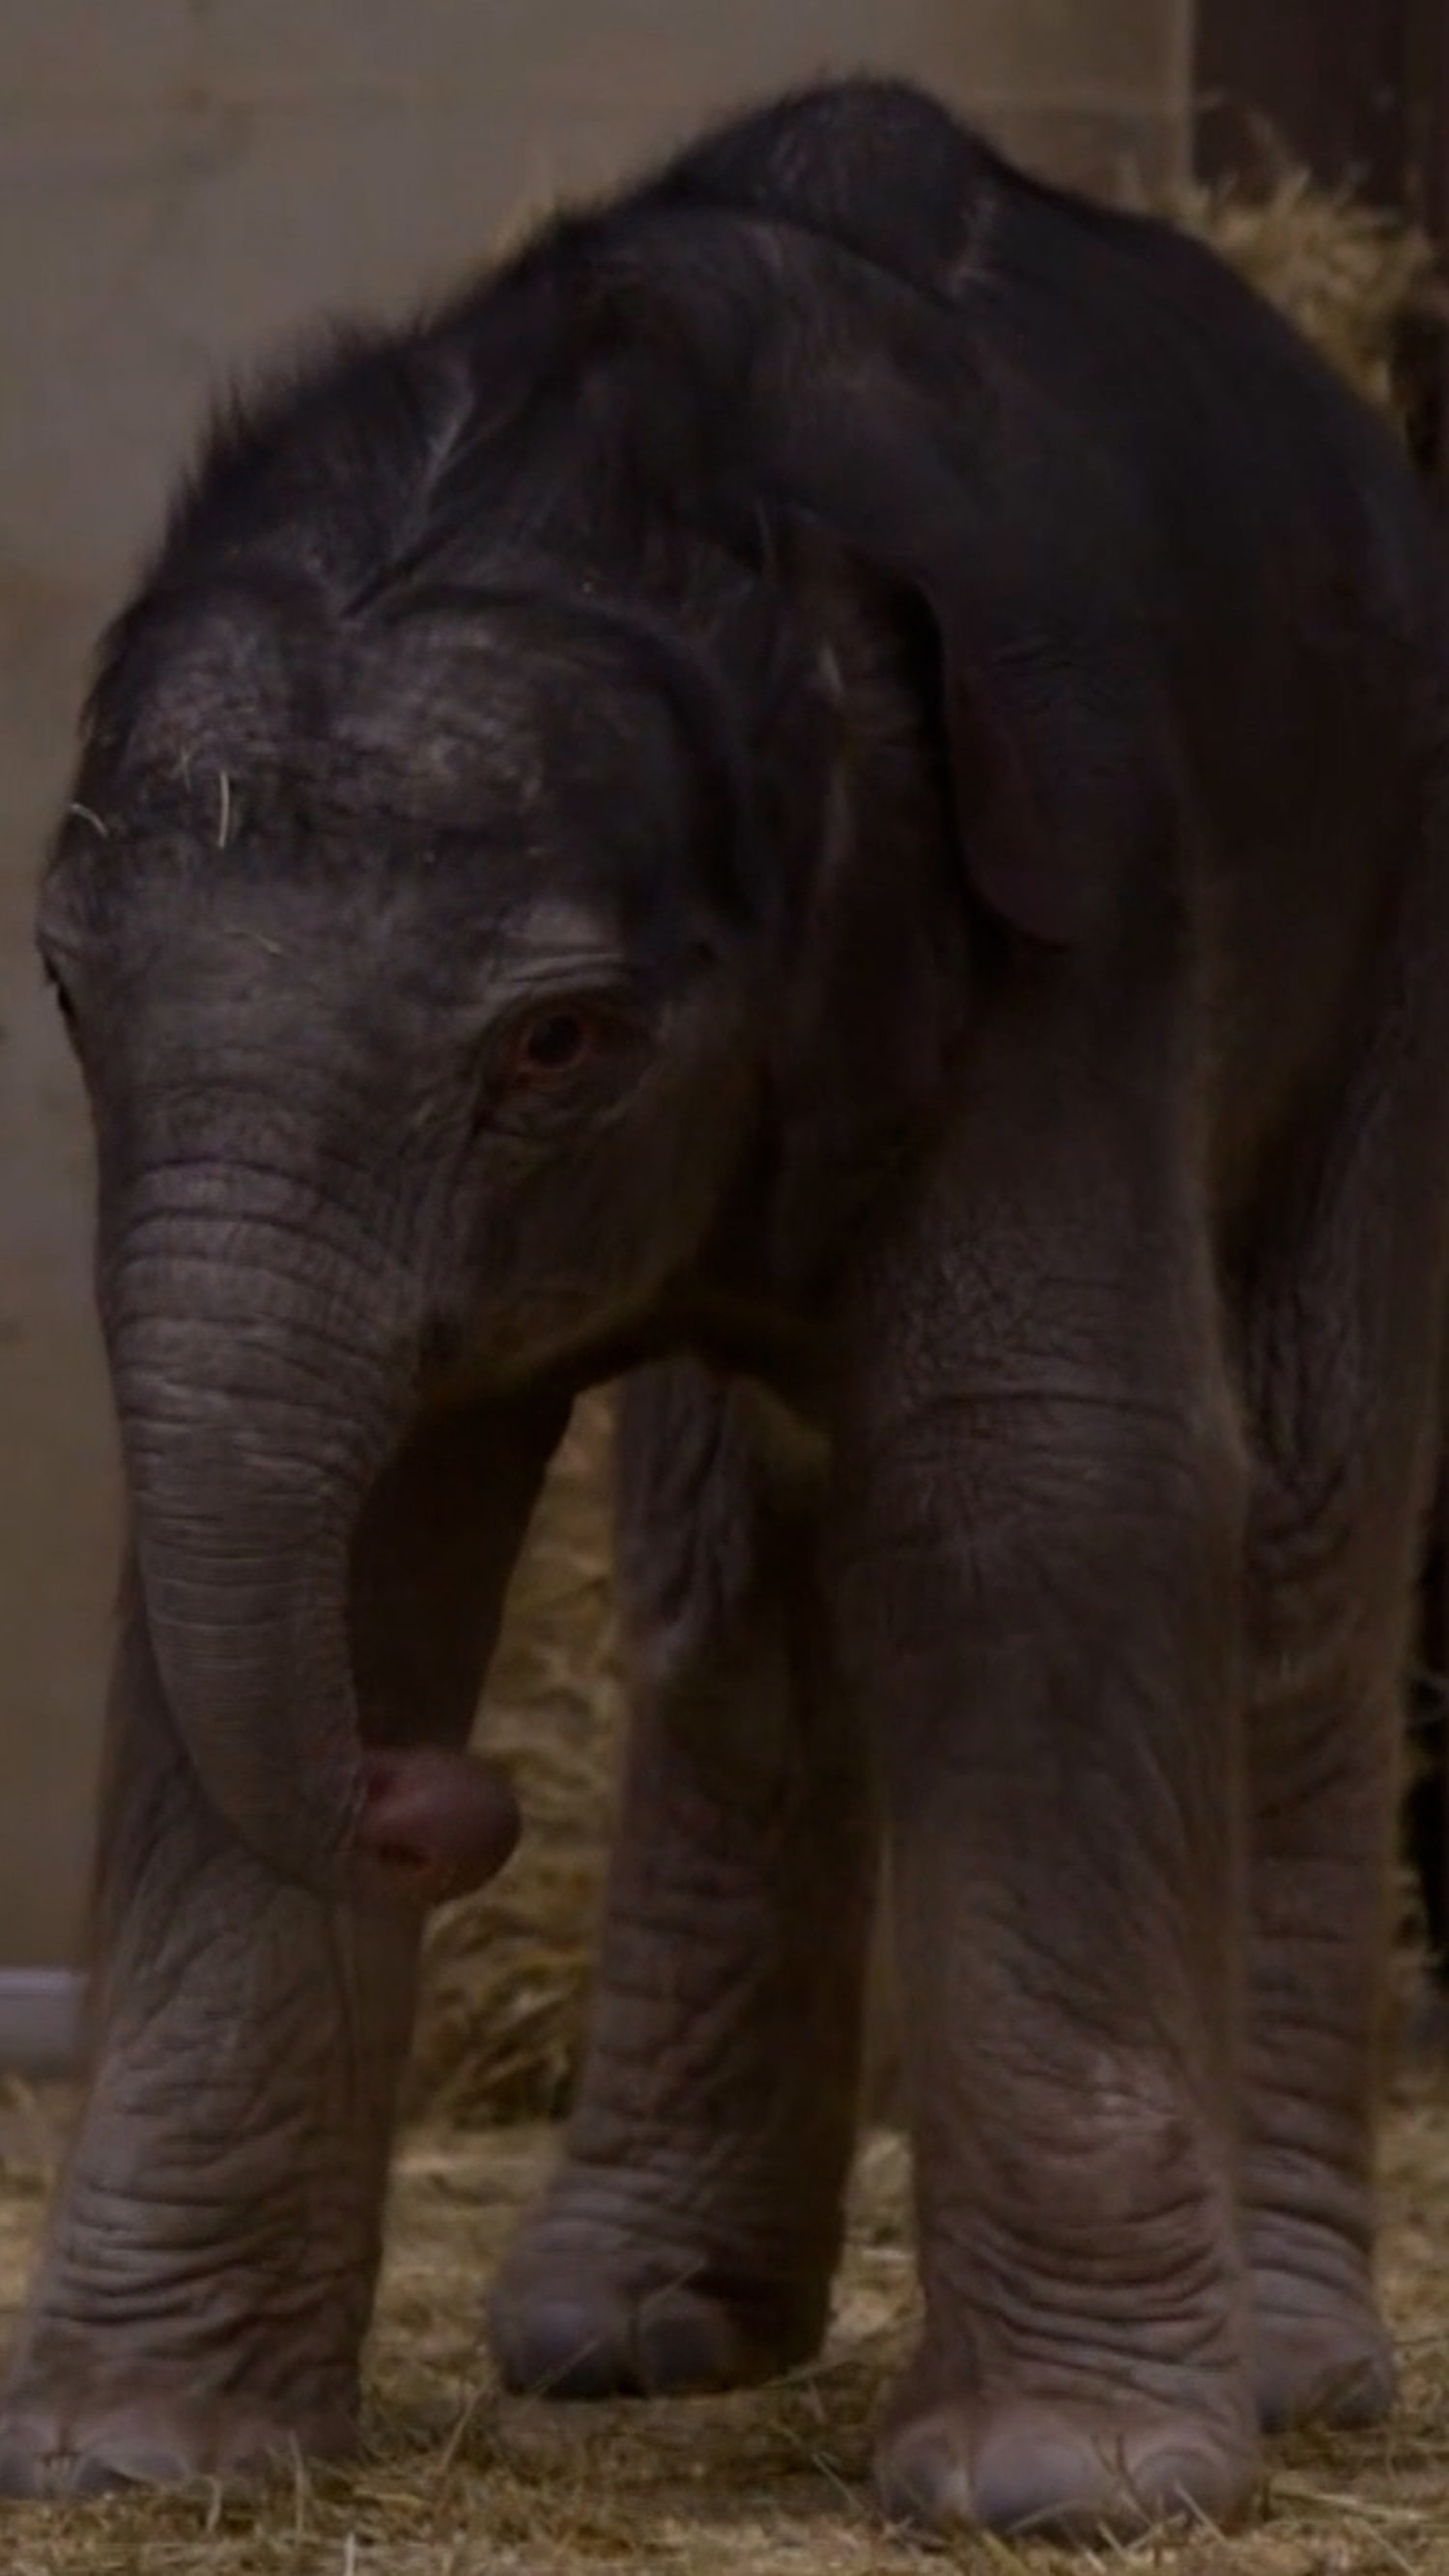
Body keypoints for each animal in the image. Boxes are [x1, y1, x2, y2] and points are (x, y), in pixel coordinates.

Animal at [7, 72, 1449, 2543]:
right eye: (66, 991)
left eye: (555, 1042)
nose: (454, 1804)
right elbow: (367, 1546)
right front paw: (134, 2459)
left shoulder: (1076, 904)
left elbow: (1038, 1479)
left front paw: (1057, 2488)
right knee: (736, 1592)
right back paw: (631, 2330)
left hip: (1387, 913)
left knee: (1294, 1545)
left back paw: (1286, 2360)